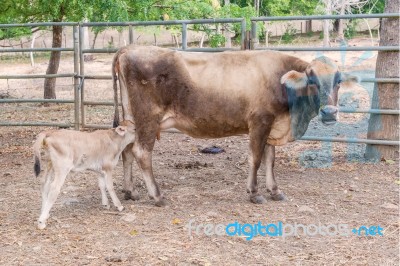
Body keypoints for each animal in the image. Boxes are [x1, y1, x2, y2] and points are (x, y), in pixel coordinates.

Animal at [112, 45, 360, 207]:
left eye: (339, 81)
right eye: (312, 80)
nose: (329, 112)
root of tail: (129, 49)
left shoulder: (272, 125)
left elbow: (270, 160)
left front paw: (275, 190)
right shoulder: (260, 121)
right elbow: (256, 158)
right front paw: (254, 193)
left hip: (132, 119)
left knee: (127, 151)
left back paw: (130, 191)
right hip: (148, 118)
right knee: (141, 152)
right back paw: (157, 196)